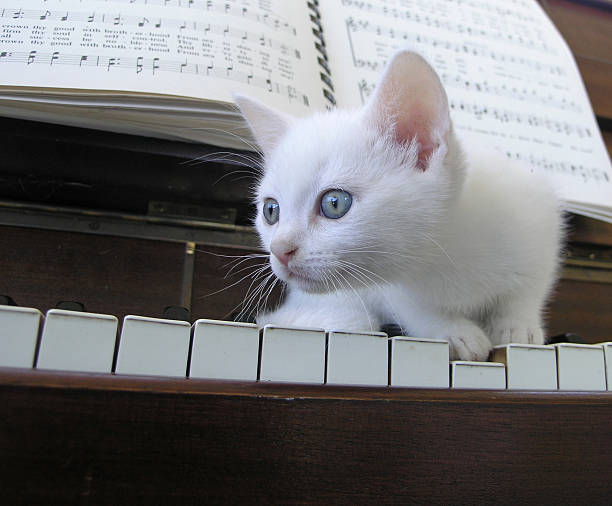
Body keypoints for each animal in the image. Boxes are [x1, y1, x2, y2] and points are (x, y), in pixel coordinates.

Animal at [234, 50, 564, 360]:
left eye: (334, 203)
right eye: (271, 211)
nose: (280, 250)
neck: (448, 251)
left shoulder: (538, 215)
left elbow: (530, 284)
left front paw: (517, 326)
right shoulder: (388, 287)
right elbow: (412, 307)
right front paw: (454, 332)